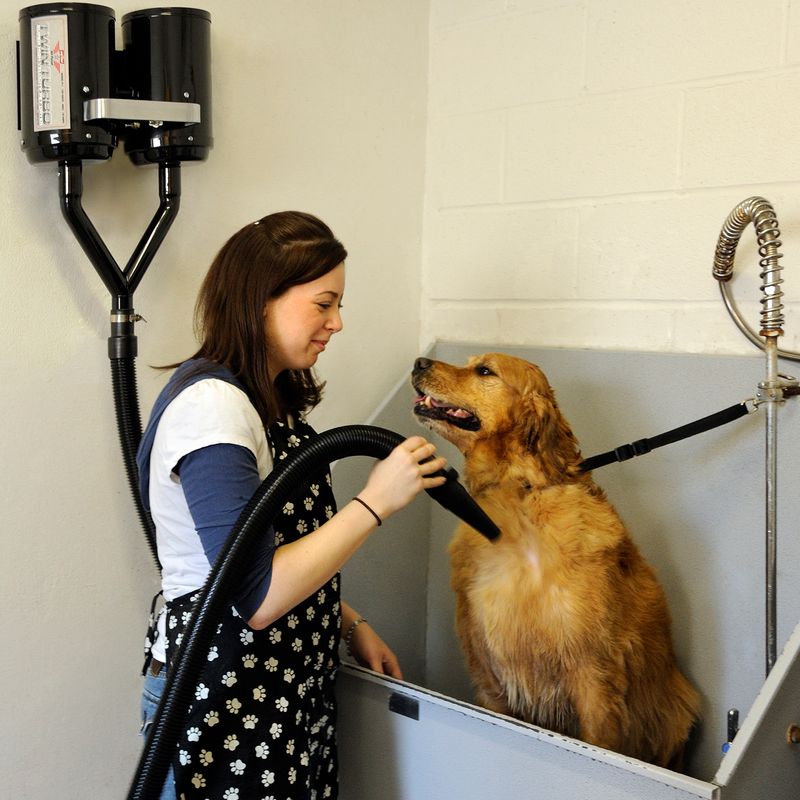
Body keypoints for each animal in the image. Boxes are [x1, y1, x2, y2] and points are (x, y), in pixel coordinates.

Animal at [412, 354, 700, 764]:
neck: (517, 495)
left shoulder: (594, 675)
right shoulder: (488, 674)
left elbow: (600, 741)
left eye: (484, 370)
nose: (418, 361)